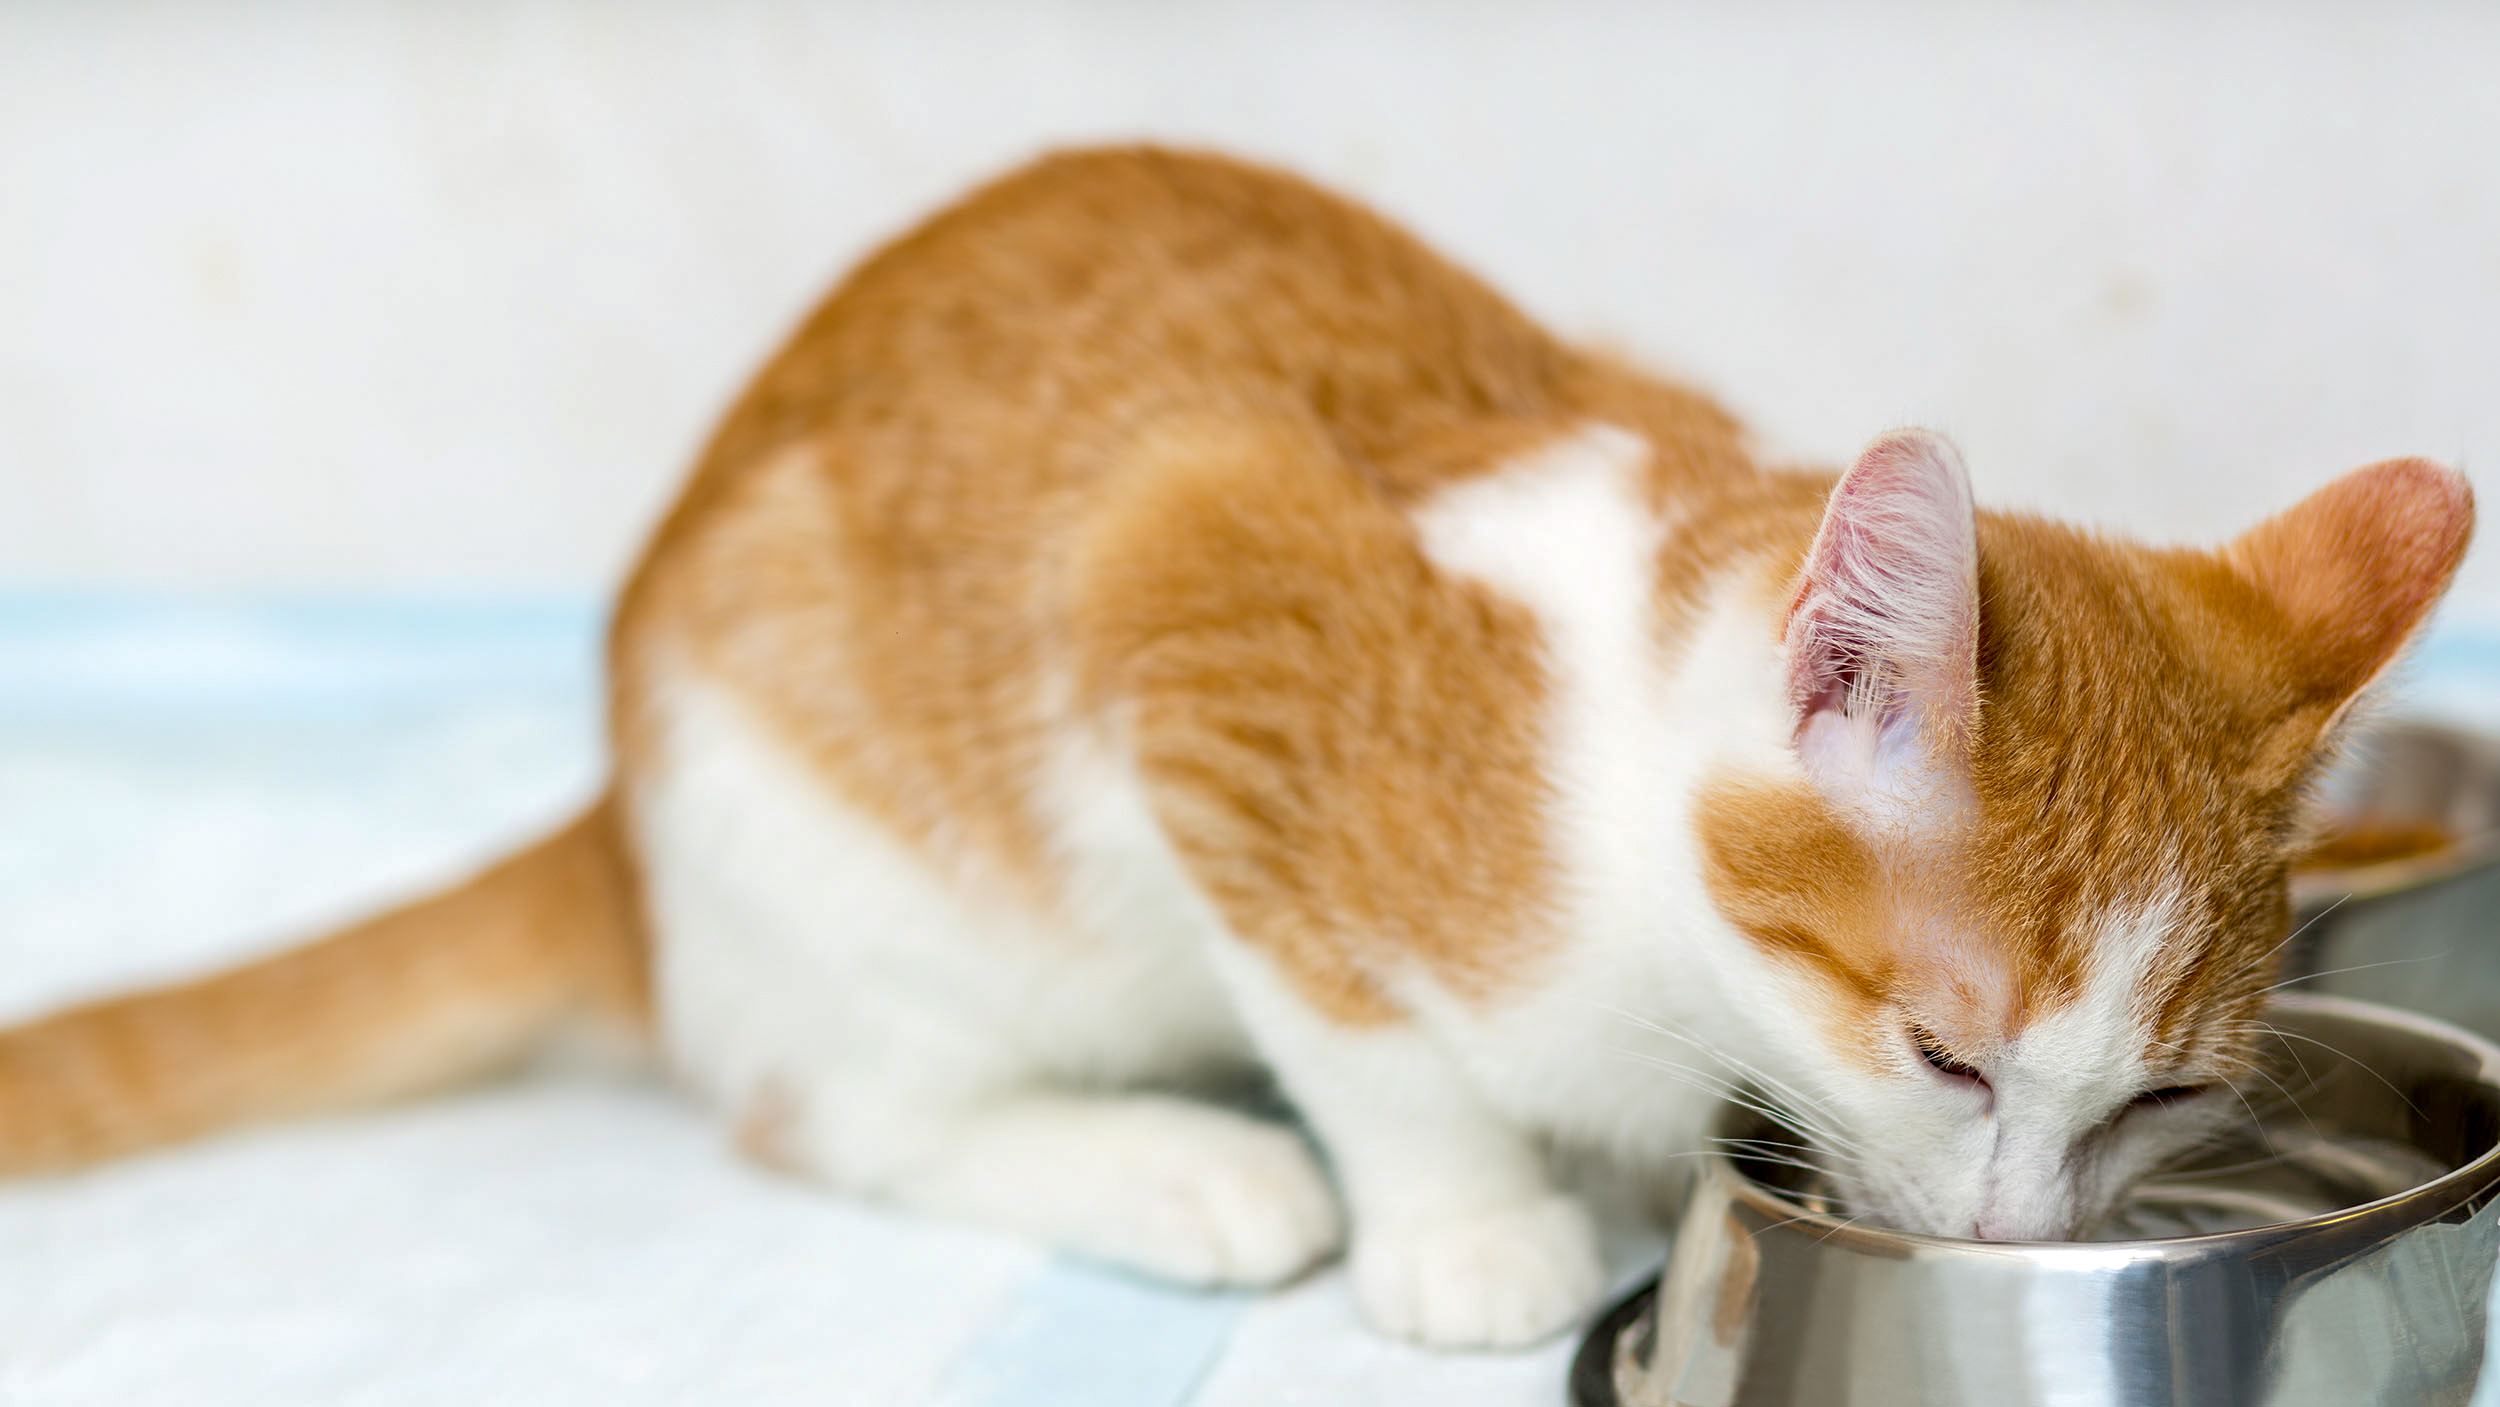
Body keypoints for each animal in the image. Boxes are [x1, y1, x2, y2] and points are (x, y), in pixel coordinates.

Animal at [0, 146, 2470, 1349]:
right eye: (1953, 1058)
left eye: (2154, 1099)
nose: (2017, 1228)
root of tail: (616, 821)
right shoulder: (1190, 603)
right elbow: (1358, 1022)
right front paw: (1466, 1217)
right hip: (832, 837)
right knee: (825, 1108)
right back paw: (1168, 1162)